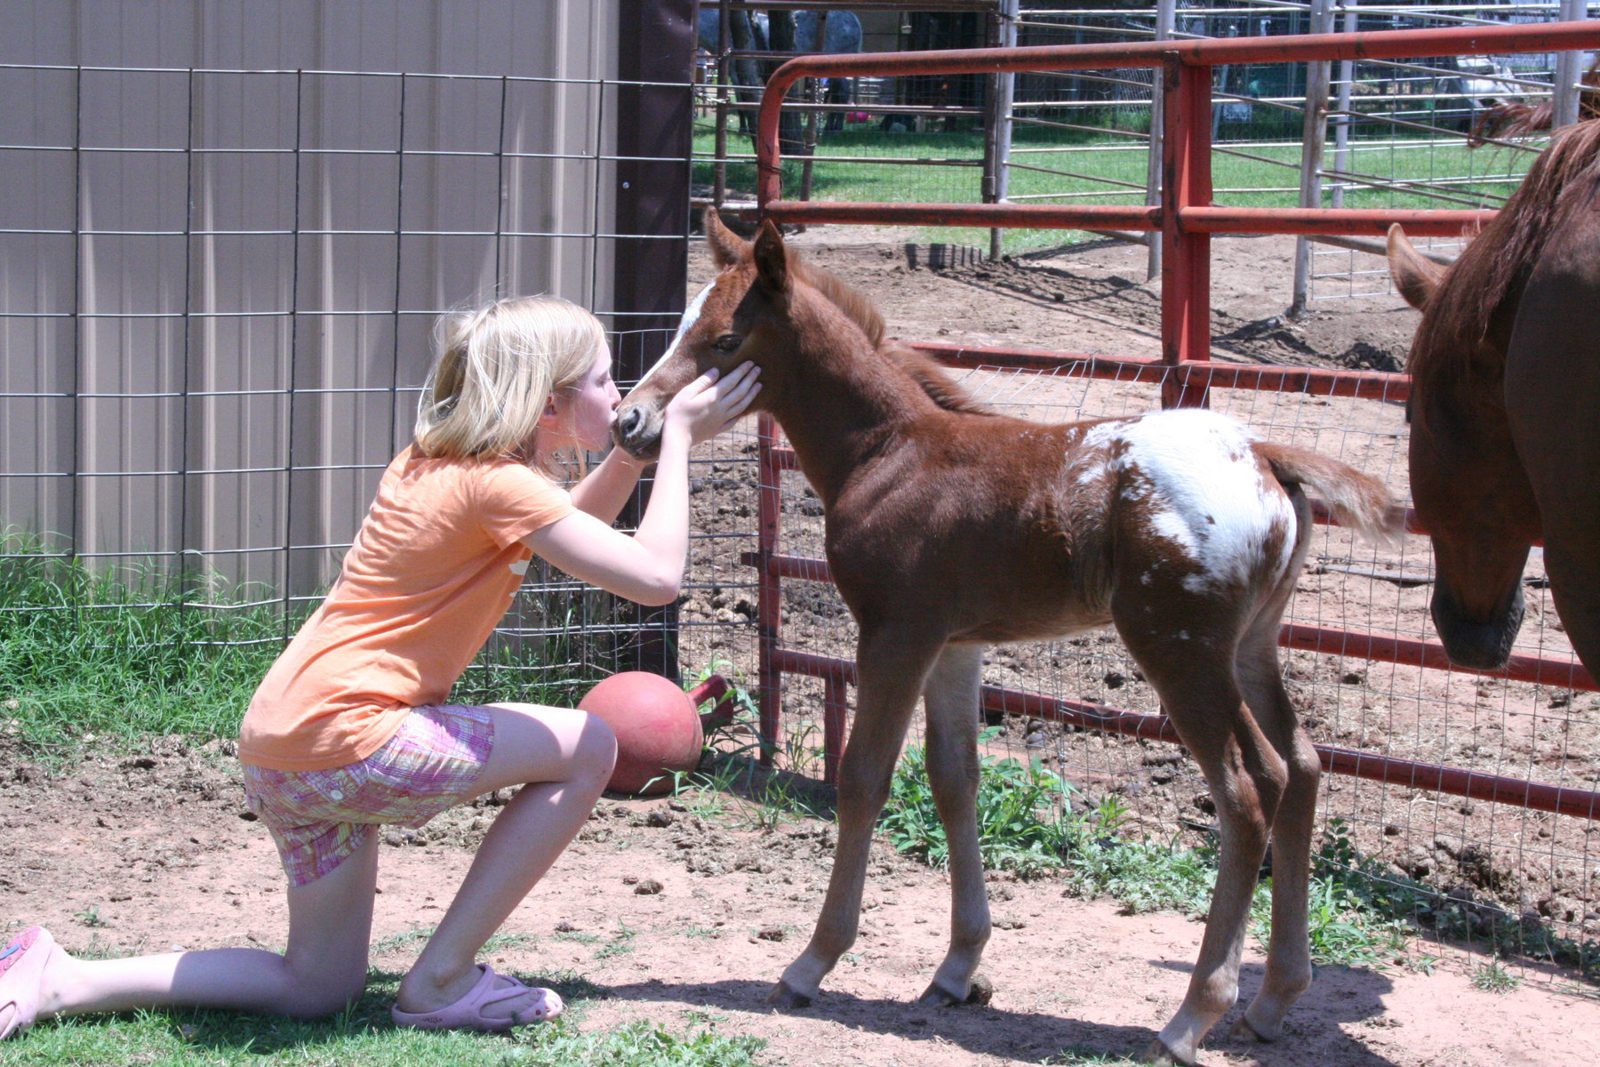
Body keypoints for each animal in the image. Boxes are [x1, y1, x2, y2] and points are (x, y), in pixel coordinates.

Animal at [617, 209, 1404, 1065]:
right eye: (684, 326)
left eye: (725, 339)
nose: (632, 420)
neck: (888, 450)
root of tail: (1263, 455)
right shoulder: (955, 644)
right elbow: (955, 779)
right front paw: (959, 967)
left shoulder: (894, 632)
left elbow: (863, 780)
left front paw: (811, 962)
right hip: (1252, 645)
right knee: (1304, 767)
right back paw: (1272, 999)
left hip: (1180, 649)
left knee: (1250, 786)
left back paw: (1190, 1015)